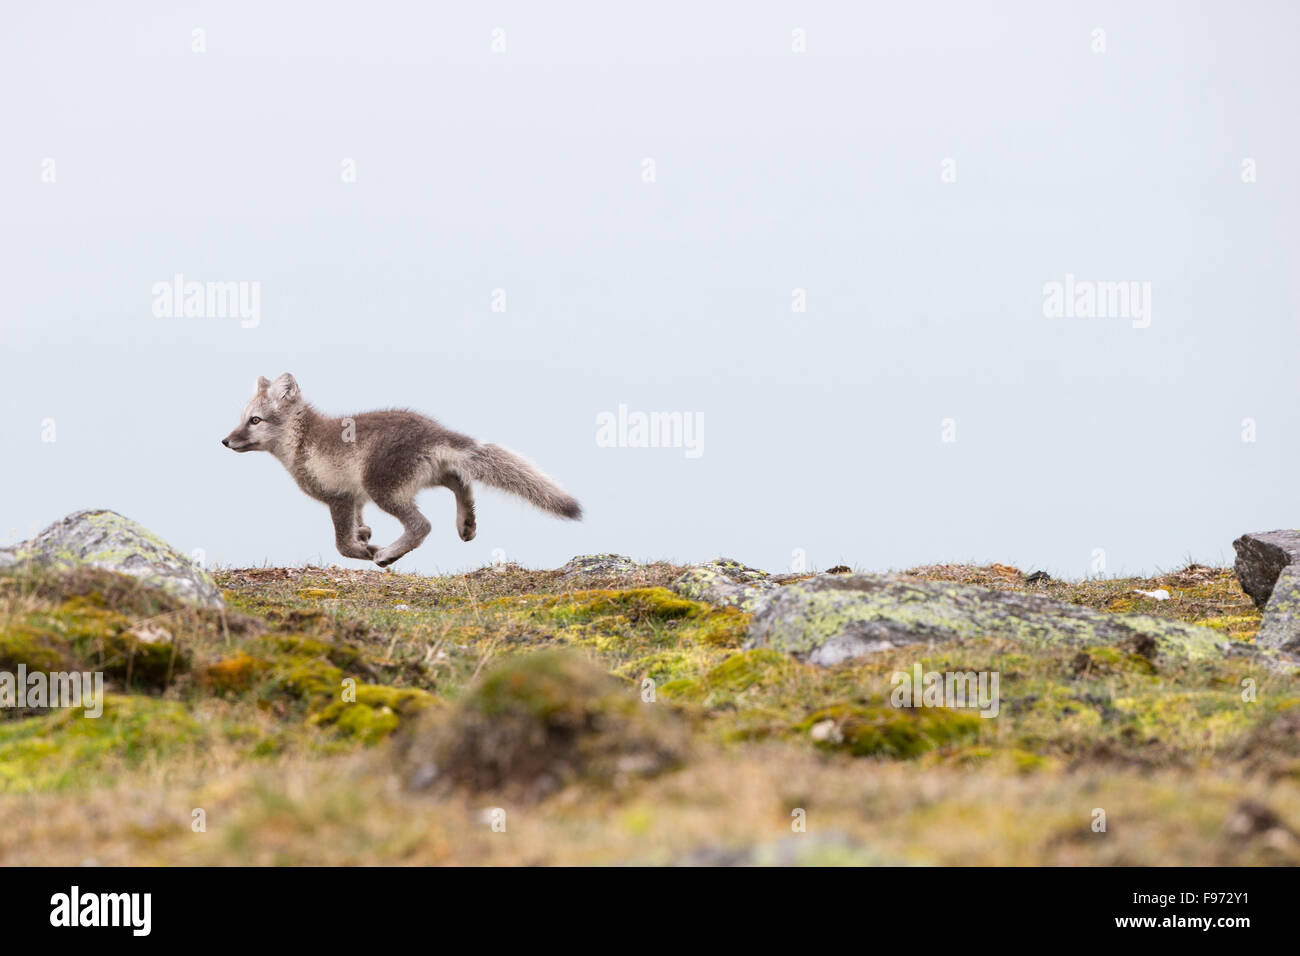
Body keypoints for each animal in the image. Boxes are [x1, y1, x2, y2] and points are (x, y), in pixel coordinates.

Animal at [224, 374, 585, 567]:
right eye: (243, 419)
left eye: (254, 420)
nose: (225, 441)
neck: (301, 441)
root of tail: (436, 431)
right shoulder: (357, 498)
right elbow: (358, 526)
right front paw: (365, 535)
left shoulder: (340, 497)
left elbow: (342, 545)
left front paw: (367, 550)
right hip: (420, 478)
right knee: (461, 481)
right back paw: (466, 524)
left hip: (383, 489)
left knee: (422, 525)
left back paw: (387, 556)